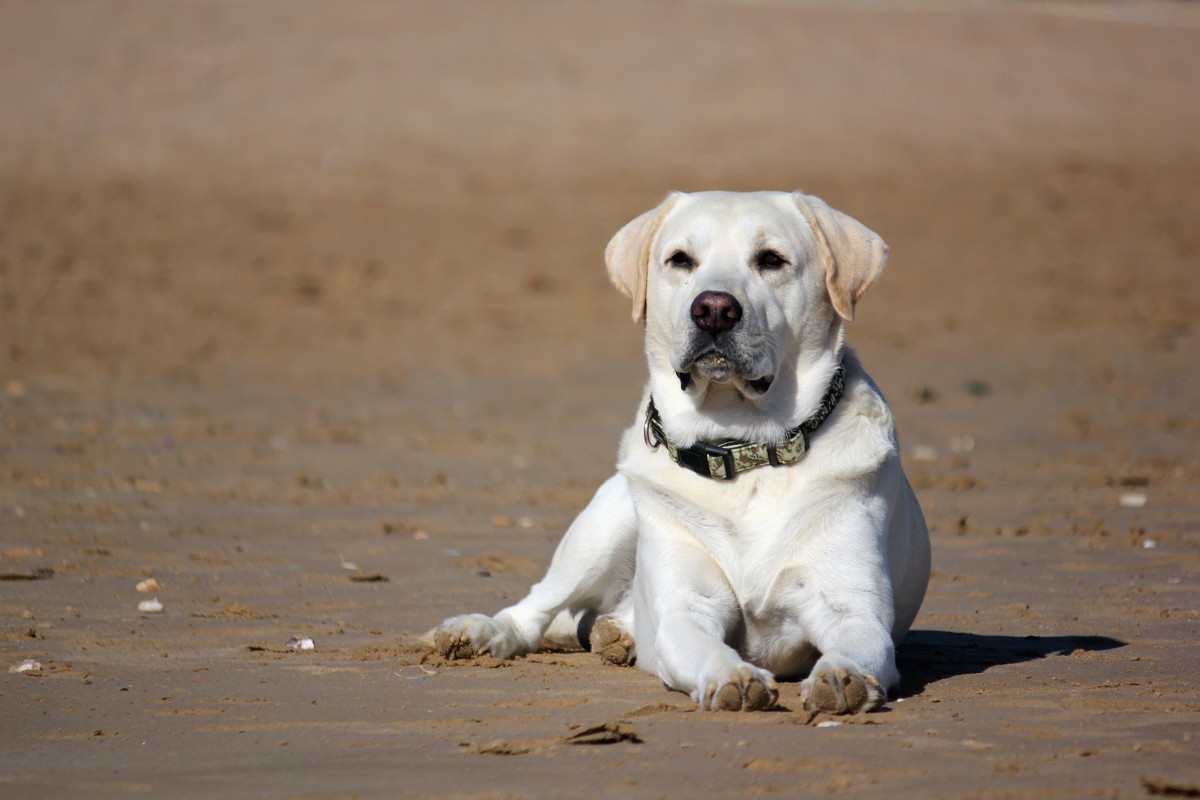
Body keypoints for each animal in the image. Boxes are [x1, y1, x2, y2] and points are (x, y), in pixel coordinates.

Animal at [427, 191, 931, 714]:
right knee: (536, 605)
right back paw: (478, 631)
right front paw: (733, 675)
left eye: (772, 259)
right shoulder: (685, 607)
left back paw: (618, 634)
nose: (713, 309)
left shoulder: (852, 606)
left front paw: (840, 676)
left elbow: (856, 644)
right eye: (680, 260)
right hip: (602, 528)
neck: (743, 445)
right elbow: (704, 645)